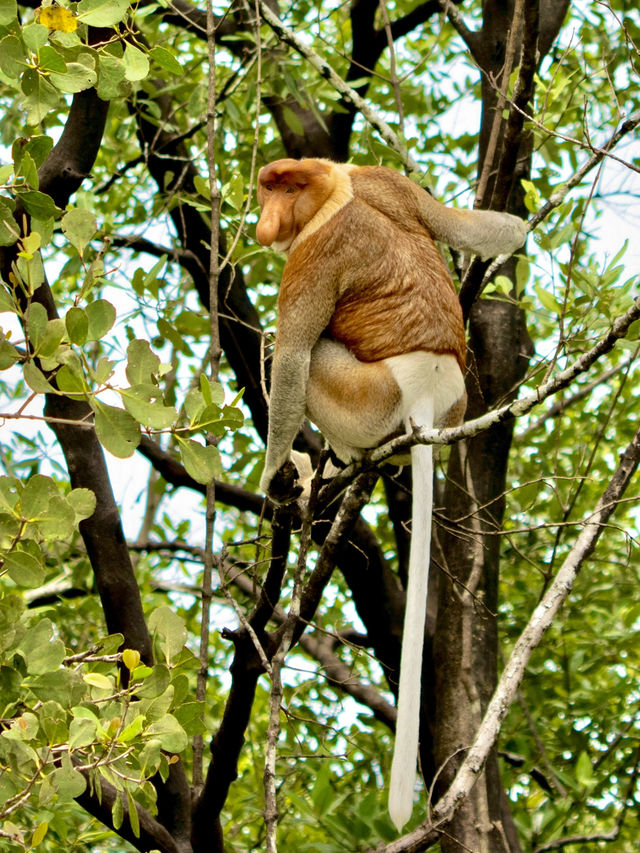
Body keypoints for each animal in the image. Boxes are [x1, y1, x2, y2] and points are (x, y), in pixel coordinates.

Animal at [255, 156, 524, 828]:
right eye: (269, 187)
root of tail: (426, 398)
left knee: (308, 355)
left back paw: (323, 466)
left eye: (288, 189)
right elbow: (478, 227)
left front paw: (272, 479)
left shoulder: (314, 255)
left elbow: (291, 357)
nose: (269, 218)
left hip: (364, 397)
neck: (335, 188)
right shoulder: (384, 176)